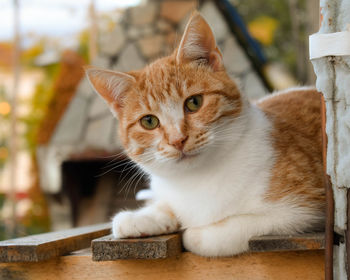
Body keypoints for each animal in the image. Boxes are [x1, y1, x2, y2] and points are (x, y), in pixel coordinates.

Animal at [85, 10, 326, 256]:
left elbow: (214, 234)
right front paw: (141, 217)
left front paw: (192, 232)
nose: (177, 140)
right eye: (149, 121)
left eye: (194, 103)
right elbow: (165, 204)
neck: (197, 180)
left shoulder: (300, 211)